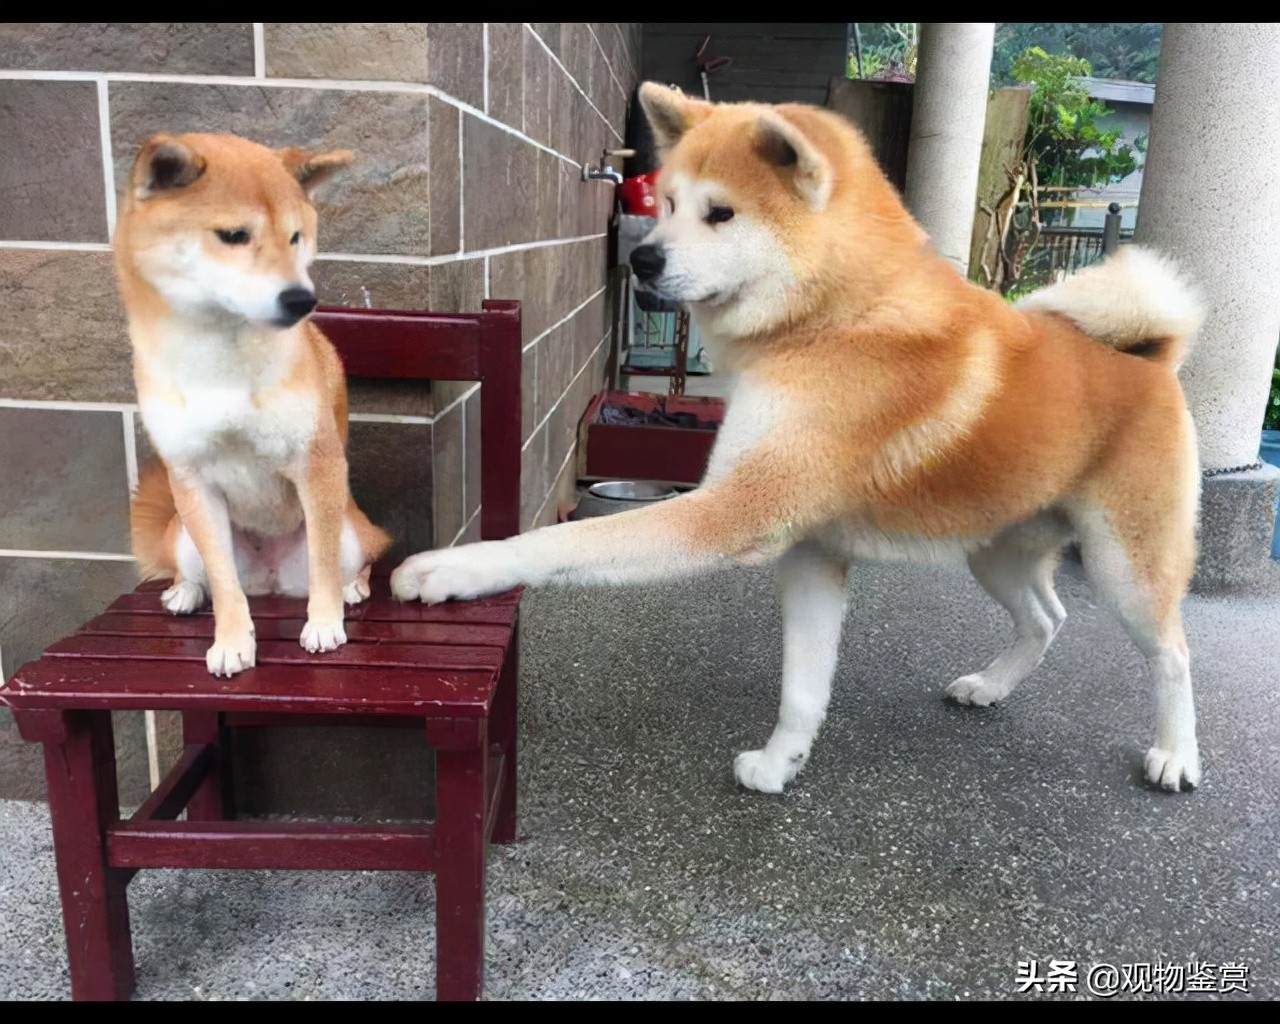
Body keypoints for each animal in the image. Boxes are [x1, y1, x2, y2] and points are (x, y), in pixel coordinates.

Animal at [119, 133, 389, 680]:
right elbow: (224, 585)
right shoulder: (192, 477)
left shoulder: (316, 462)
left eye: (295, 237)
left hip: (352, 532)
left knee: (355, 558)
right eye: (233, 235)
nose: (301, 299)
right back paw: (184, 592)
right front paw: (232, 642)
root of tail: (271, 581)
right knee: (198, 572)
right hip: (183, 533)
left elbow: (323, 563)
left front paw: (324, 624)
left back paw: (351, 587)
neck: (218, 360)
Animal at [394, 83, 1203, 793]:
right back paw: (991, 685)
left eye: (720, 214)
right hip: (996, 548)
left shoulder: (736, 514)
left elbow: (561, 542)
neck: (833, 319)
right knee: (1046, 618)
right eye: (667, 204)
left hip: (1125, 566)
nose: (643, 258)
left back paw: (1175, 755)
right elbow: (804, 687)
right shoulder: (812, 551)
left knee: (1172, 652)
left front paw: (453, 568)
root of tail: (1152, 359)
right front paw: (782, 764)